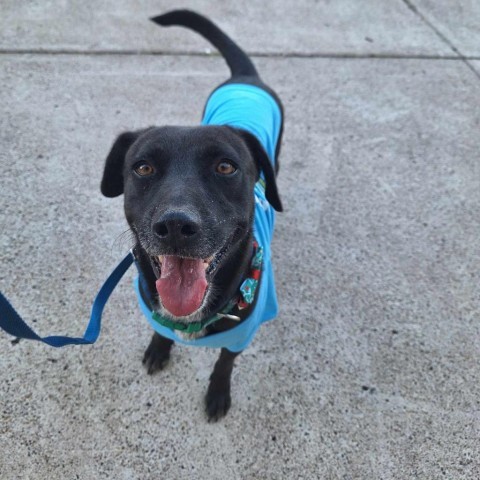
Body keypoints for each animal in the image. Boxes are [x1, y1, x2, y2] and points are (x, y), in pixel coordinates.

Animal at [100, 10, 284, 420]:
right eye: (143, 168)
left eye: (226, 167)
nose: (175, 226)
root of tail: (245, 78)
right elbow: (161, 329)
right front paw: (158, 349)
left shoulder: (240, 335)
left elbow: (224, 363)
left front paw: (217, 394)